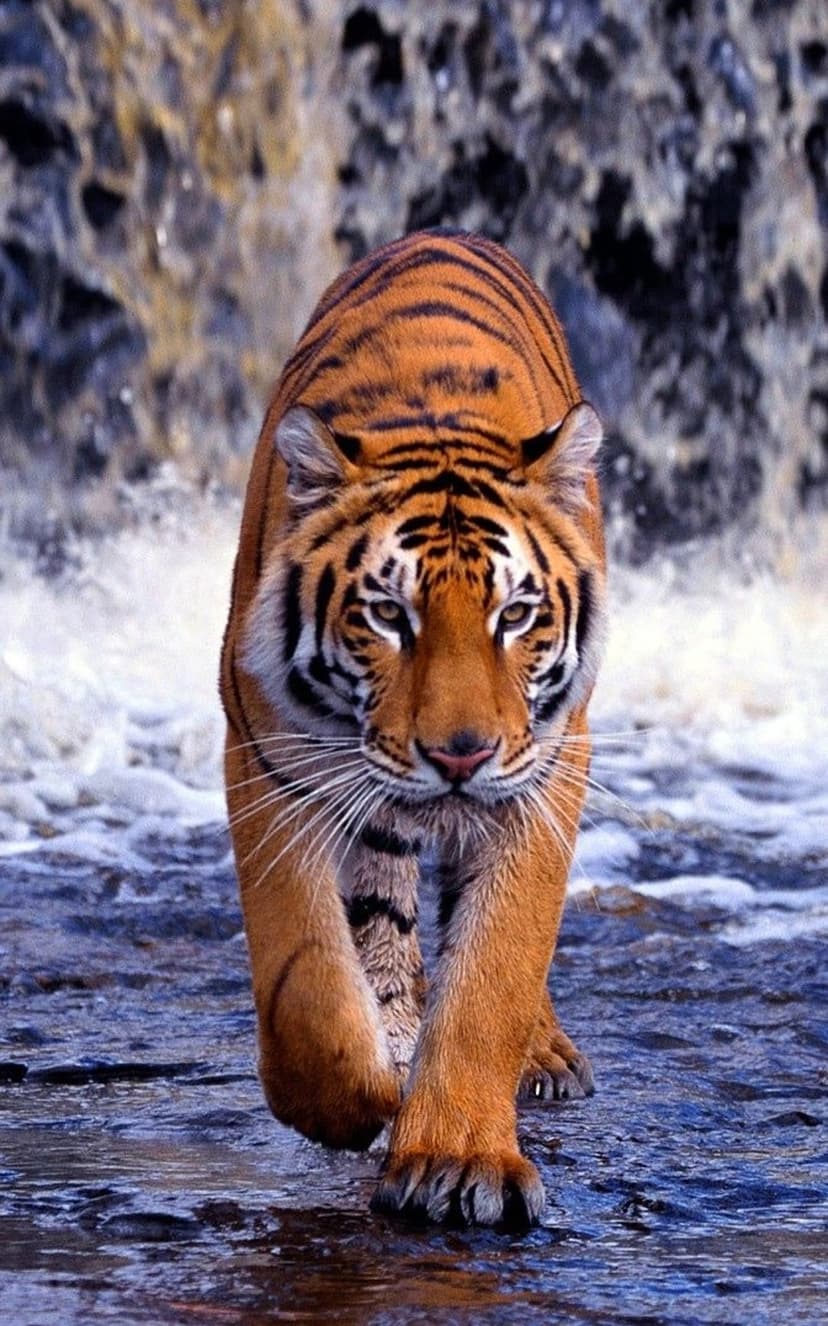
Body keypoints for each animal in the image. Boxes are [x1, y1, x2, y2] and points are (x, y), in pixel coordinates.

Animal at [220, 229, 606, 1228]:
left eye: (516, 615)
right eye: (389, 615)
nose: (459, 755)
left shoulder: (545, 772)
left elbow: (496, 969)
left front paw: (458, 1158)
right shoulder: (271, 758)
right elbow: (307, 979)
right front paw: (354, 1101)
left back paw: (541, 1055)